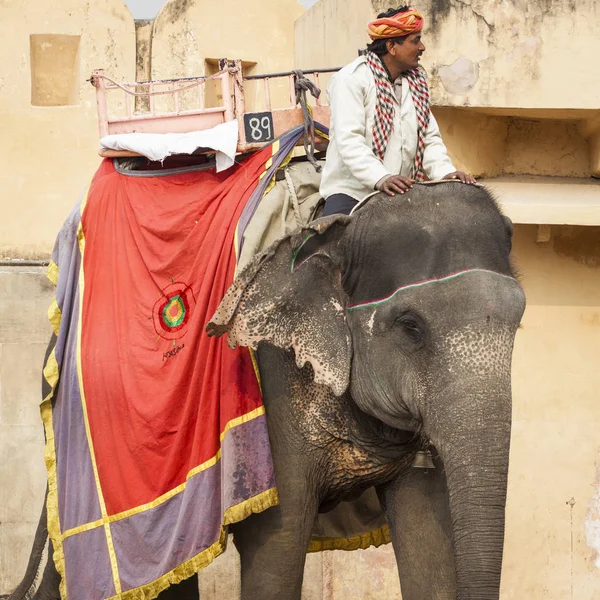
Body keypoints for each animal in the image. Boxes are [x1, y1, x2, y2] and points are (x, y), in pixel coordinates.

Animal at [8, 180, 524, 596]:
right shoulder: (271, 385)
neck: (340, 233)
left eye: (519, 320)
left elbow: (426, 538)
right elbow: (277, 541)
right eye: (411, 327)